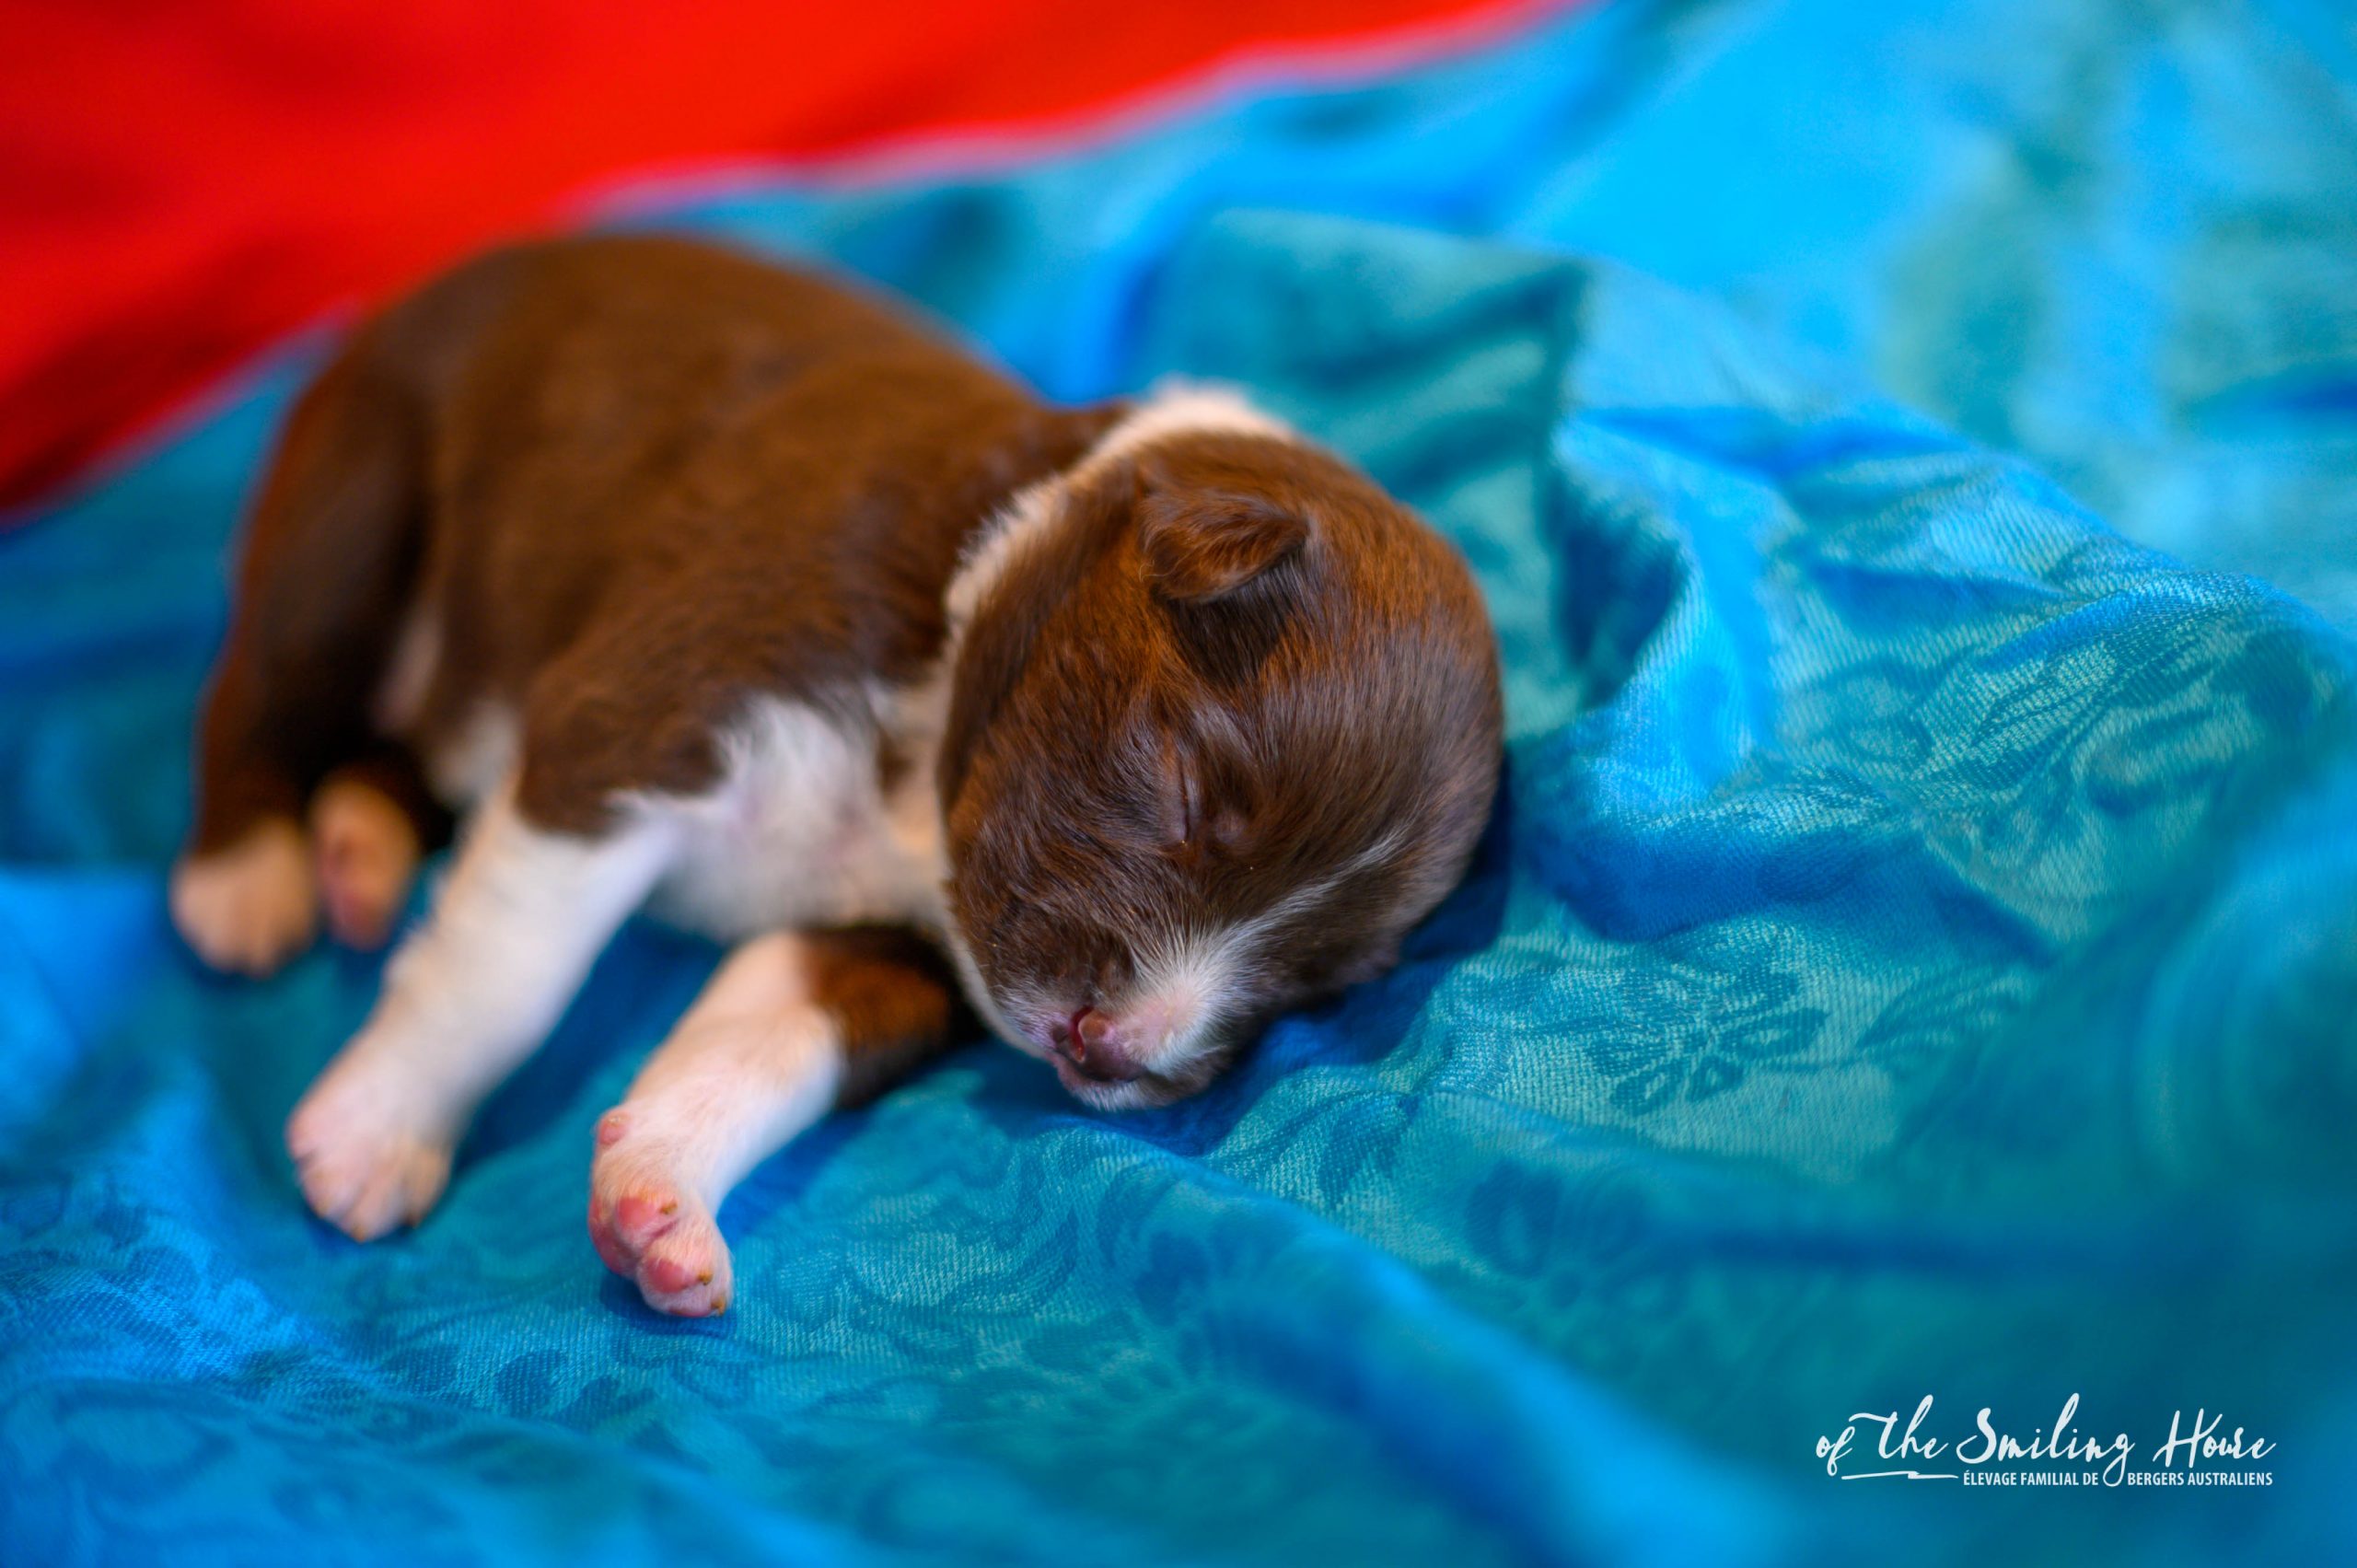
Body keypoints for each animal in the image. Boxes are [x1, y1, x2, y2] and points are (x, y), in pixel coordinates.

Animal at [170, 234, 1502, 1316]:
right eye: (1182, 783)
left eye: (1316, 978)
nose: (1117, 1050)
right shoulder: (637, 729)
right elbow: (508, 980)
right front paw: (380, 1134)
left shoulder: (906, 944)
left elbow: (771, 1040)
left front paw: (660, 1198)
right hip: (358, 491)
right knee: (261, 686)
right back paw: (249, 880)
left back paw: (358, 849)